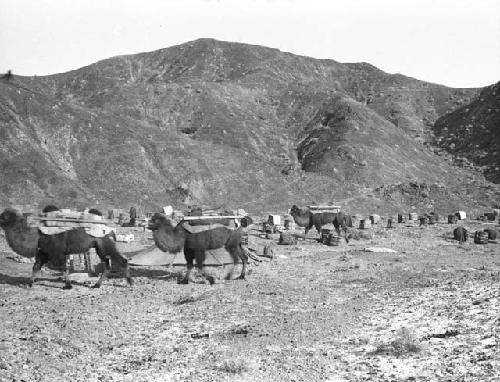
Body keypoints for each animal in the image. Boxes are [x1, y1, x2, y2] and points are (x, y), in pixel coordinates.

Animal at [0, 209, 133, 290]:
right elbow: (36, 266)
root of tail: (111, 229)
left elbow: (64, 267)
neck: (37, 234)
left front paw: (67, 285)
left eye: (4, 216)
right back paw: (97, 285)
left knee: (121, 260)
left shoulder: (57, 252)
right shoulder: (44, 251)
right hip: (99, 247)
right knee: (107, 264)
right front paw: (29, 283)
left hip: (105, 243)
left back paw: (130, 282)